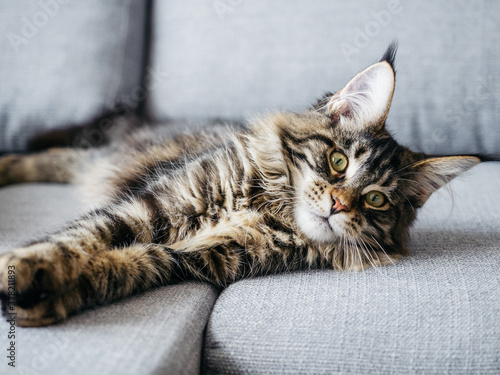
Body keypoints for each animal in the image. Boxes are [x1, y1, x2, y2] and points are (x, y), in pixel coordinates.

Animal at [0, 44, 480, 328]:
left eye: (376, 200)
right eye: (338, 162)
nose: (338, 205)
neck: (269, 208)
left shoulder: (200, 258)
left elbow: (127, 265)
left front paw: (46, 290)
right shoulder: (151, 206)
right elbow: (80, 237)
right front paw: (27, 266)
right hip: (100, 158)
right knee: (48, 156)